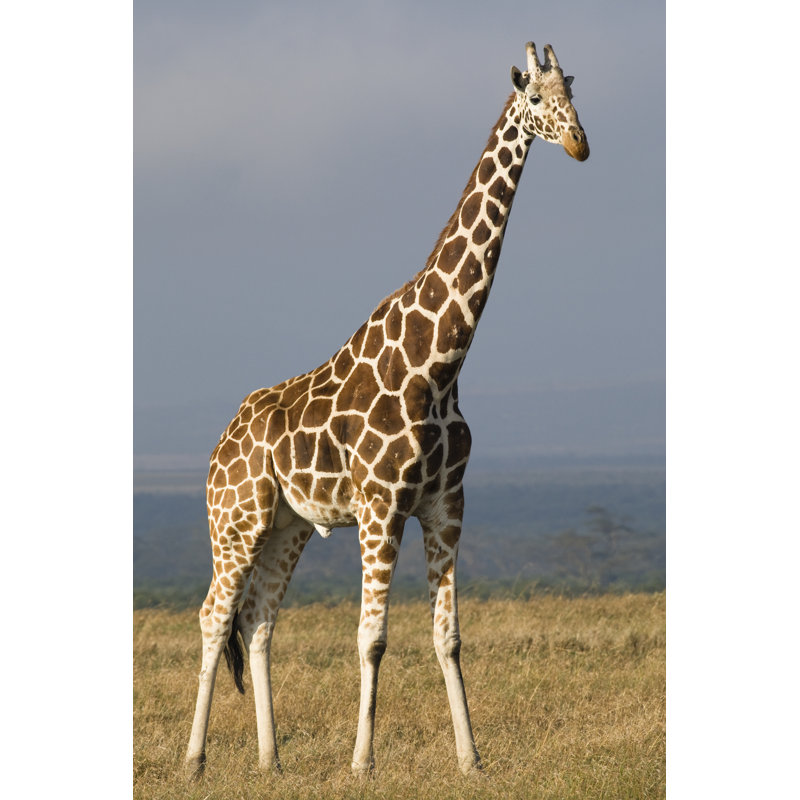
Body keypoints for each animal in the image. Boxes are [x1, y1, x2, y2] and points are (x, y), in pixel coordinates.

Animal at [185, 41, 589, 779]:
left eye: (574, 94)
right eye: (535, 100)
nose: (579, 144)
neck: (441, 361)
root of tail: (218, 446)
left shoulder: (445, 504)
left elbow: (448, 636)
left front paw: (470, 758)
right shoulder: (382, 506)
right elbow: (371, 638)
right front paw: (362, 762)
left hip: (287, 526)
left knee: (257, 619)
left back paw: (270, 760)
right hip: (235, 520)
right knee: (212, 615)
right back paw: (195, 762)